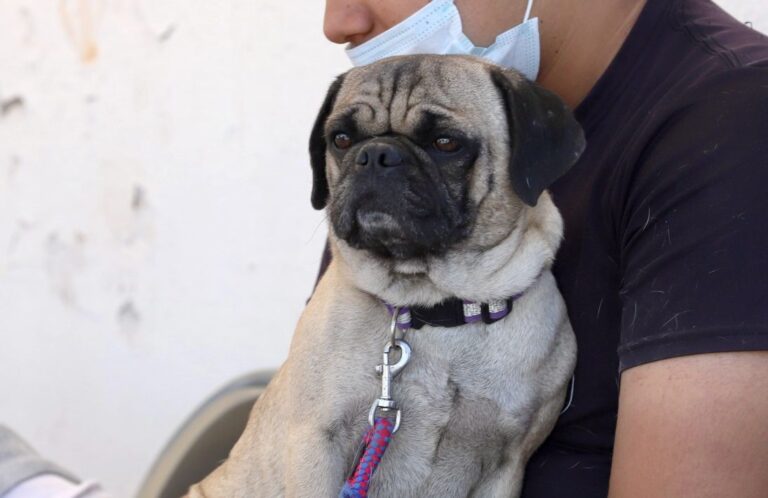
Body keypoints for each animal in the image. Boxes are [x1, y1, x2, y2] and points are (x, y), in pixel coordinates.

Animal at [189, 55, 584, 498]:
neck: (432, 304)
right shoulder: (316, 442)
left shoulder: (506, 466)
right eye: (341, 139)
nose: (376, 154)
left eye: (446, 143)